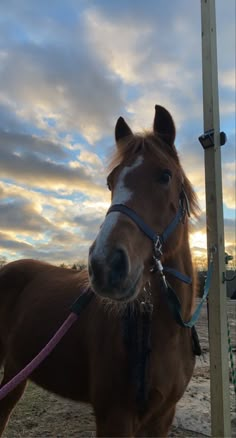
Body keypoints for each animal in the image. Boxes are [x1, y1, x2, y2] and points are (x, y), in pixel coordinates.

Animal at [0, 104, 199, 436]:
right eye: (110, 181)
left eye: (165, 175)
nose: (106, 265)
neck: (163, 332)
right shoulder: (114, 417)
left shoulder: (162, 417)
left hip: (17, 367)